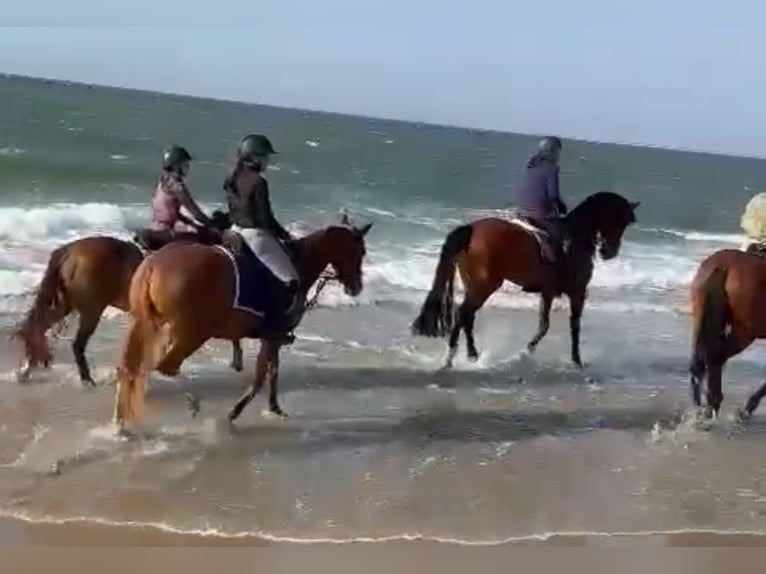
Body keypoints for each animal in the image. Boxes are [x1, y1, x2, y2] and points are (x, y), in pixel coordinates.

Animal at [12, 213, 246, 388]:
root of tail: (69, 250)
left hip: (65, 303)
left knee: (37, 327)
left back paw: (27, 370)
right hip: (91, 308)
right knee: (76, 343)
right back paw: (86, 379)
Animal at [114, 218, 376, 430]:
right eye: (359, 252)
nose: (356, 287)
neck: (299, 263)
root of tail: (154, 264)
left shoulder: (273, 338)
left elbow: (273, 371)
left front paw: (274, 407)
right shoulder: (274, 336)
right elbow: (261, 376)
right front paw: (236, 411)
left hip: (146, 324)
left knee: (128, 369)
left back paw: (120, 425)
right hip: (194, 333)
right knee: (166, 367)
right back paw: (193, 405)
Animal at [412, 191, 640, 372]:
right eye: (620, 221)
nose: (609, 252)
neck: (575, 236)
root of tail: (472, 229)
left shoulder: (548, 292)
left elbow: (544, 325)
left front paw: (528, 351)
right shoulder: (578, 292)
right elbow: (572, 327)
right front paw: (574, 360)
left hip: (473, 284)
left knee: (468, 316)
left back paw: (472, 355)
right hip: (486, 286)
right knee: (463, 314)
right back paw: (449, 358)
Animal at [688, 250, 766, 420]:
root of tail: (723, 265)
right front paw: (747, 408)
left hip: (701, 317)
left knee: (703, 358)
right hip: (745, 332)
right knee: (716, 355)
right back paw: (714, 403)